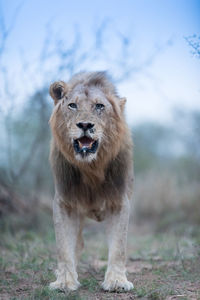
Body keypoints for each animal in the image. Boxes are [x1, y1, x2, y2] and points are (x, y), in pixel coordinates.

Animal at [48, 71, 134, 292]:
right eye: (72, 105)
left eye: (99, 106)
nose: (85, 125)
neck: (91, 168)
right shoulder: (65, 203)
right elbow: (63, 247)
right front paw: (64, 281)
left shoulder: (118, 202)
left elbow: (119, 246)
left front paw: (117, 281)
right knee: (77, 244)